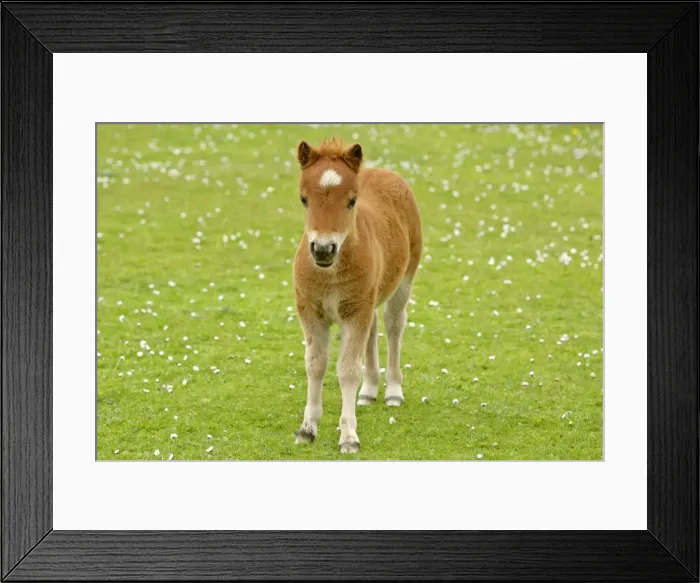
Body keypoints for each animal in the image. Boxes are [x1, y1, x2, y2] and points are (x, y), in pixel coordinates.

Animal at [291, 138, 423, 453]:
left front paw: (349, 436)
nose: (323, 249)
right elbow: (315, 364)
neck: (330, 274)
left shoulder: (356, 312)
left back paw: (393, 391)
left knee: (393, 325)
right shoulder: (310, 310)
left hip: (404, 279)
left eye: (352, 201)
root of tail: (385, 171)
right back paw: (369, 390)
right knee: (374, 327)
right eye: (303, 199)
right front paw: (307, 429)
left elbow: (348, 369)